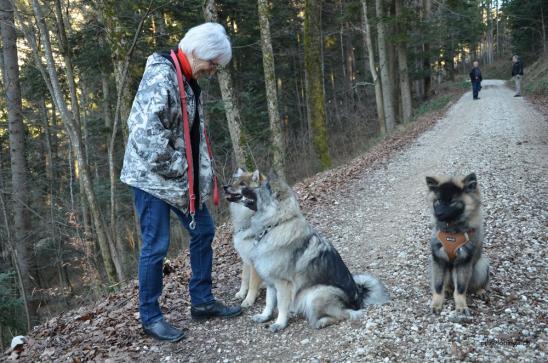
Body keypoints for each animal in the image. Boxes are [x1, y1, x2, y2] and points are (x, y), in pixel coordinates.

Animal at [240, 173, 390, 332]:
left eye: (258, 189)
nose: (242, 190)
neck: (276, 225)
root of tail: (358, 298)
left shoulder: (282, 283)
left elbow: (281, 305)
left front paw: (279, 323)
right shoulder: (271, 282)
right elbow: (269, 302)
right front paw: (265, 316)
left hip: (315, 294)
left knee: (344, 314)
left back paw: (322, 321)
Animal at [426, 173, 490, 316]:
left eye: (452, 202)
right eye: (438, 201)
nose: (438, 213)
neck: (451, 232)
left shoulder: (463, 260)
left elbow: (460, 289)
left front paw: (461, 306)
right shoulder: (439, 259)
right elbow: (438, 286)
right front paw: (436, 303)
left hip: (481, 265)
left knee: (476, 284)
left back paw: (480, 291)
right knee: (447, 285)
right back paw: (448, 289)